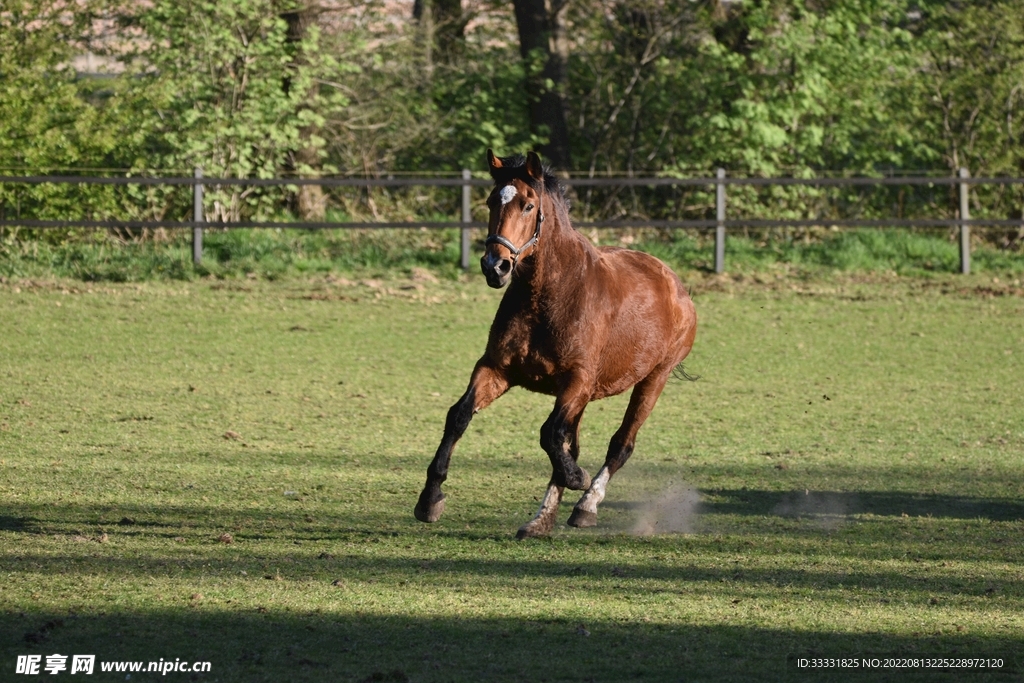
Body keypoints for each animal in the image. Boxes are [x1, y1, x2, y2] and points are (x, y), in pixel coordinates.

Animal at [414, 150, 697, 538]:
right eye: (491, 201)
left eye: (528, 205)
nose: (495, 266)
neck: (550, 295)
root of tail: (675, 284)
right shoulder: (496, 369)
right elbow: (459, 416)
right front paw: (430, 499)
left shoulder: (577, 380)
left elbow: (550, 435)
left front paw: (577, 479)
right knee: (570, 441)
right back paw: (541, 520)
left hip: (653, 379)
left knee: (620, 445)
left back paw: (584, 505)